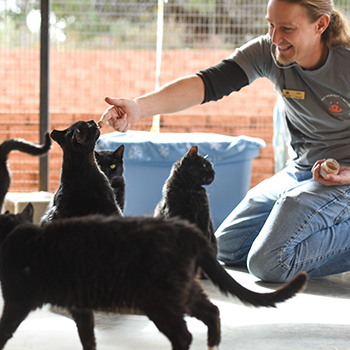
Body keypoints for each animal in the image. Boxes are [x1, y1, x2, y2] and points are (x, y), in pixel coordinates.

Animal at [0, 205, 308, 350]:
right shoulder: (81, 307)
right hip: (183, 291)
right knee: (212, 312)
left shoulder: (17, 302)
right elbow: (88, 337)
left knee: (184, 334)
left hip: (159, 300)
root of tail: (186, 230)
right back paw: (213, 345)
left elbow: (4, 330)